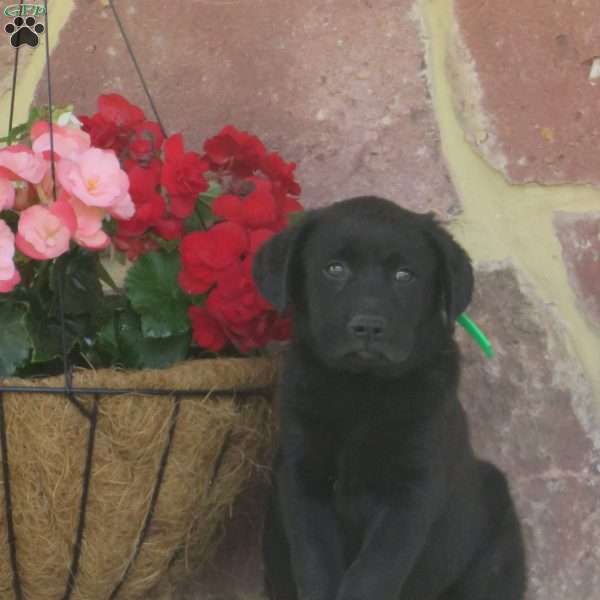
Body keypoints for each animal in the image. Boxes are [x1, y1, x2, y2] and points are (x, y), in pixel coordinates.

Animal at [252, 197, 524, 600]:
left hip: (494, 558)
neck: (363, 391)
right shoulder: (303, 479)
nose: (368, 326)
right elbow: (316, 563)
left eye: (404, 275)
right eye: (334, 269)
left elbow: (374, 571)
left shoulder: (411, 492)